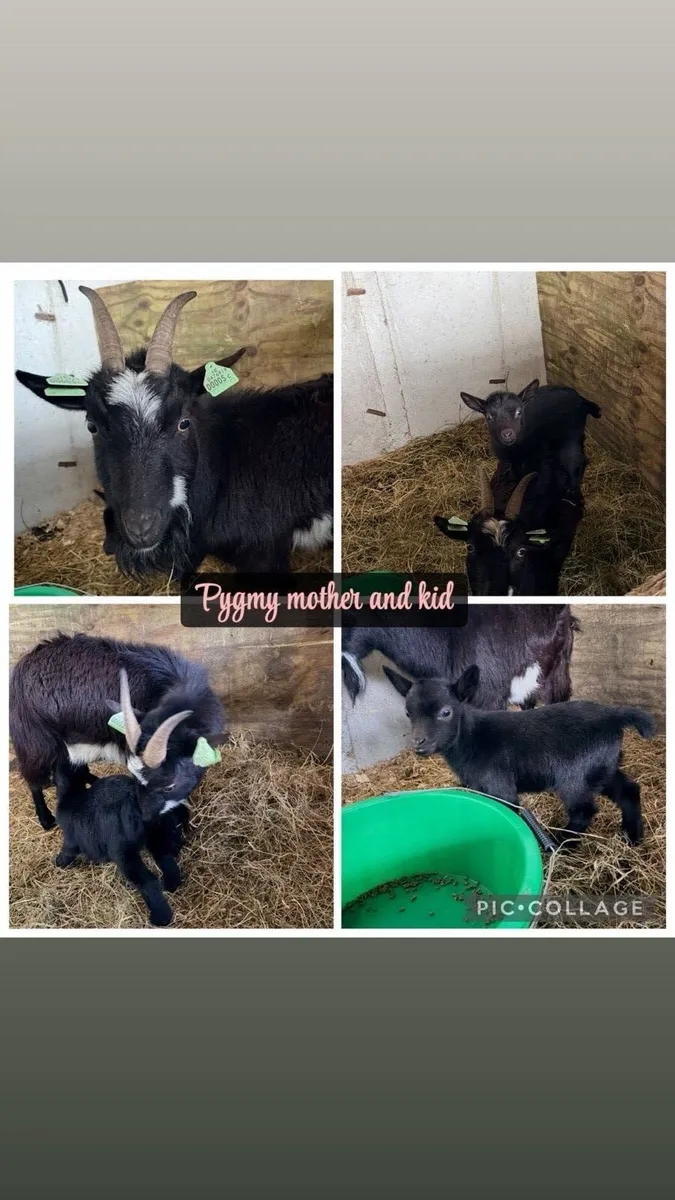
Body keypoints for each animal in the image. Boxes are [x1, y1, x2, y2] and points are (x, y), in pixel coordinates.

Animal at [10, 634, 225, 831]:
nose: (146, 818)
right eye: (135, 777)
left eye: (170, 784)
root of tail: (24, 663)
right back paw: (46, 820)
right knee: (34, 779)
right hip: (35, 741)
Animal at [53, 751, 180, 928]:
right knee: (164, 857)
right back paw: (172, 885)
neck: (72, 794)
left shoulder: (71, 838)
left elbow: (67, 852)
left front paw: (59, 862)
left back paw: (161, 918)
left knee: (148, 881)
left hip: (124, 852)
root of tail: (134, 800)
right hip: (156, 832)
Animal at [384, 665, 653, 844]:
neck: (471, 739)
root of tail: (613, 716)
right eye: (408, 713)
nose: (419, 743)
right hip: (602, 766)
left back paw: (561, 843)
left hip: (575, 776)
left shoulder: (501, 786)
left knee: (583, 811)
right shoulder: (477, 787)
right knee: (629, 790)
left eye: (446, 712)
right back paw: (633, 837)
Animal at [460, 379, 600, 501]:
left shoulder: (537, 458)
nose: (507, 434)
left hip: (571, 434)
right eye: (489, 417)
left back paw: (571, 490)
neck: (516, 448)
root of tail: (582, 399)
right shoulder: (512, 460)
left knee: (575, 459)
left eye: (518, 412)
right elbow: (516, 475)